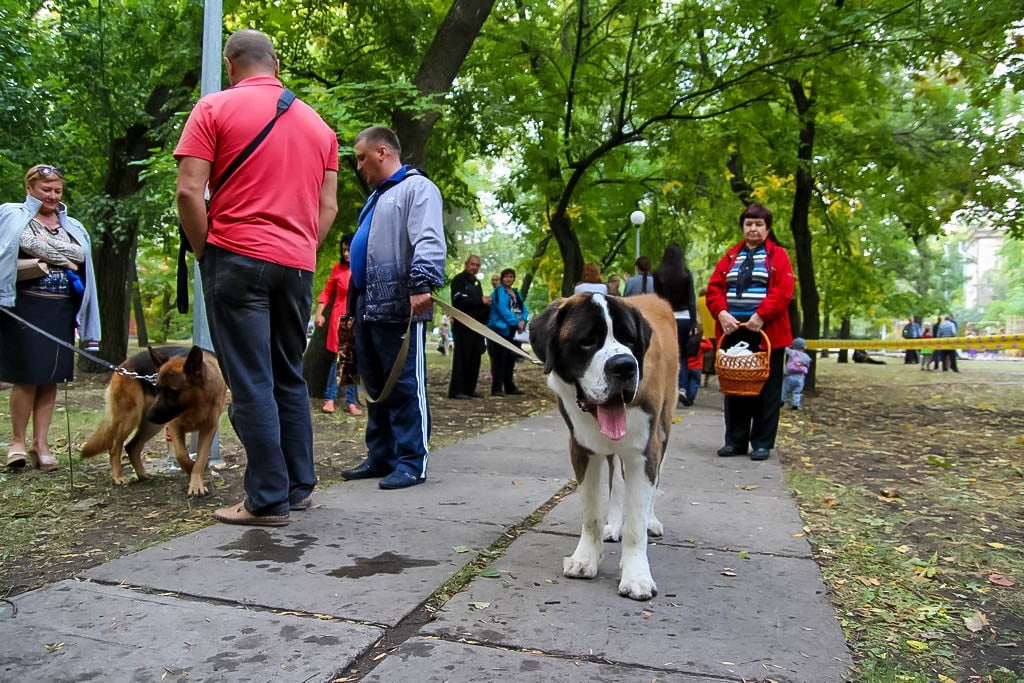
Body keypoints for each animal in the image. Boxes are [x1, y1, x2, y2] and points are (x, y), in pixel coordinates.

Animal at [83, 348, 228, 497]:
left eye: (172, 391)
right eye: (157, 388)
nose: (149, 415)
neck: (194, 405)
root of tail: (122, 366)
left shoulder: (208, 430)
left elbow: (201, 458)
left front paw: (196, 483)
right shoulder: (174, 427)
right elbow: (181, 455)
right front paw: (191, 470)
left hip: (152, 425)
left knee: (131, 446)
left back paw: (142, 475)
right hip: (130, 419)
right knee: (115, 447)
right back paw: (118, 476)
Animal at [528, 290, 679, 602]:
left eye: (629, 339)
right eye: (587, 341)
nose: (624, 365)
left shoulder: (644, 452)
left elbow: (635, 524)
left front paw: (636, 576)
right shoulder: (582, 449)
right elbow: (590, 512)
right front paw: (586, 558)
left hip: (663, 430)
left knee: (654, 480)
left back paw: (651, 521)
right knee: (618, 483)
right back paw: (613, 524)